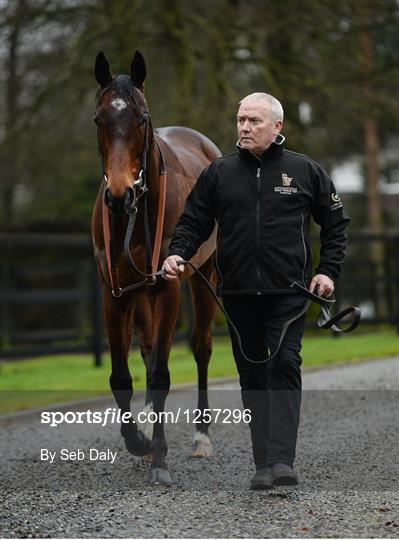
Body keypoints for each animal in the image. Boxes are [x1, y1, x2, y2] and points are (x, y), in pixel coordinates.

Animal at [92, 50, 220, 488]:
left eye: (142, 118)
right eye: (98, 119)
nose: (119, 195)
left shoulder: (167, 289)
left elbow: (162, 375)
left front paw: (160, 458)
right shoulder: (115, 293)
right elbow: (121, 377)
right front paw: (139, 441)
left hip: (204, 276)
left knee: (201, 347)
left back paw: (201, 438)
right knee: (148, 352)